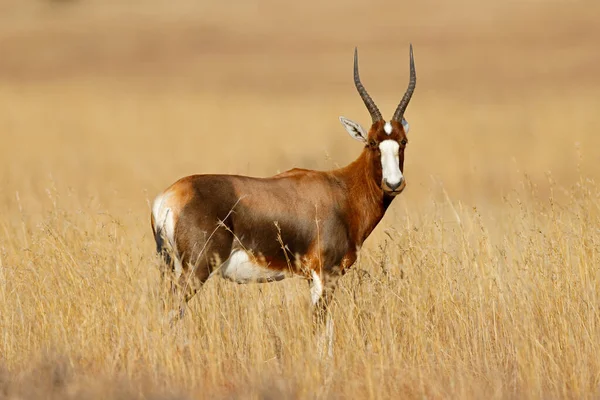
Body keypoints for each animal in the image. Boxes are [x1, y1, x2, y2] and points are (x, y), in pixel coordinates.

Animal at [150, 43, 418, 332]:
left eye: (403, 141)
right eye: (371, 142)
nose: (394, 183)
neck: (341, 190)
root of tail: (168, 198)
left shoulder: (313, 278)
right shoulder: (325, 274)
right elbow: (322, 328)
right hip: (194, 271)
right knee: (170, 312)